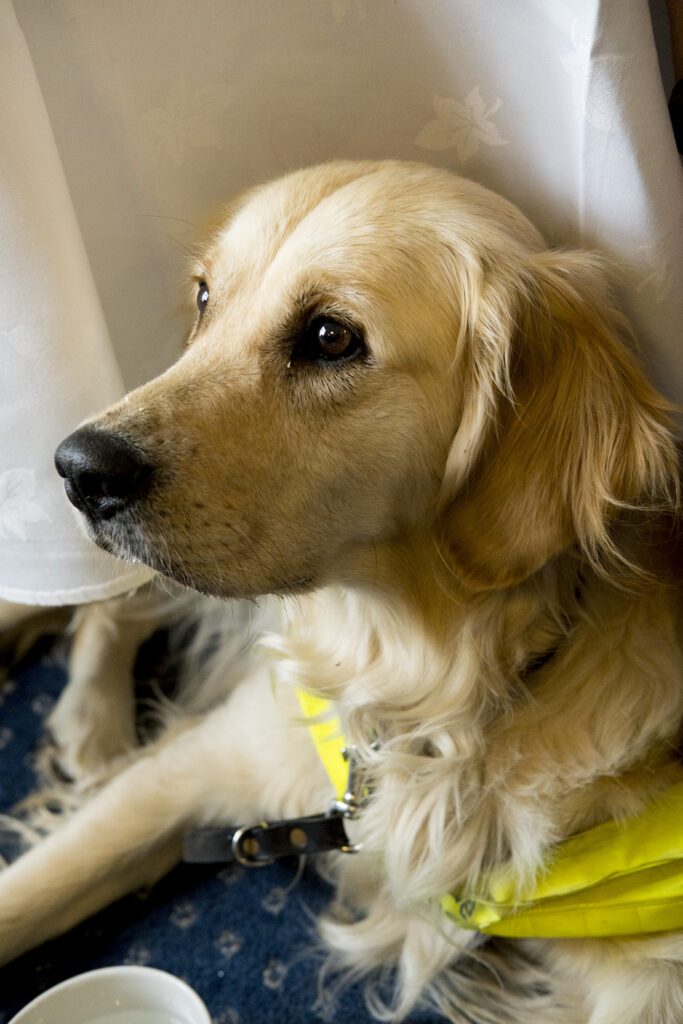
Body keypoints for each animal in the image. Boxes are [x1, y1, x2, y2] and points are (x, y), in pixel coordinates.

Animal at [1, 163, 683, 1019]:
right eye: (204, 298)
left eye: (331, 338)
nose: (78, 469)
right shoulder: (200, 763)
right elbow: (27, 894)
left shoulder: (649, 974)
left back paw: (93, 729)